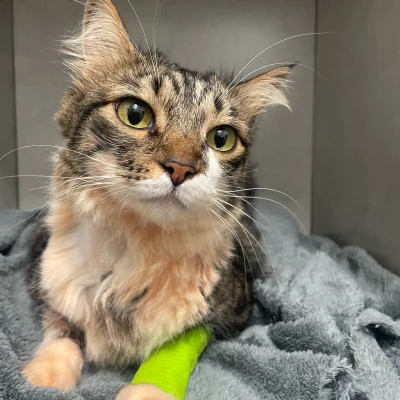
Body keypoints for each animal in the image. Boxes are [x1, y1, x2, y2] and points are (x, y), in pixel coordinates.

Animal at [22, 0, 292, 399]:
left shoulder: (229, 311)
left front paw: (146, 390)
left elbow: (172, 349)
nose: (181, 168)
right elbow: (62, 332)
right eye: (135, 114)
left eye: (221, 138)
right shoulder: (47, 281)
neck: (137, 246)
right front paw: (42, 378)